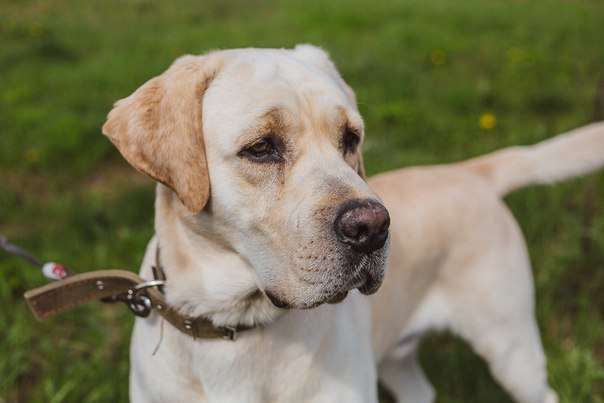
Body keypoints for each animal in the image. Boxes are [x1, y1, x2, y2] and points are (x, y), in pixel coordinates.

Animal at [104, 45, 604, 402]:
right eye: (261, 147)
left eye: (351, 138)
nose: (374, 227)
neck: (236, 325)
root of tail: (470, 171)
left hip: (511, 346)